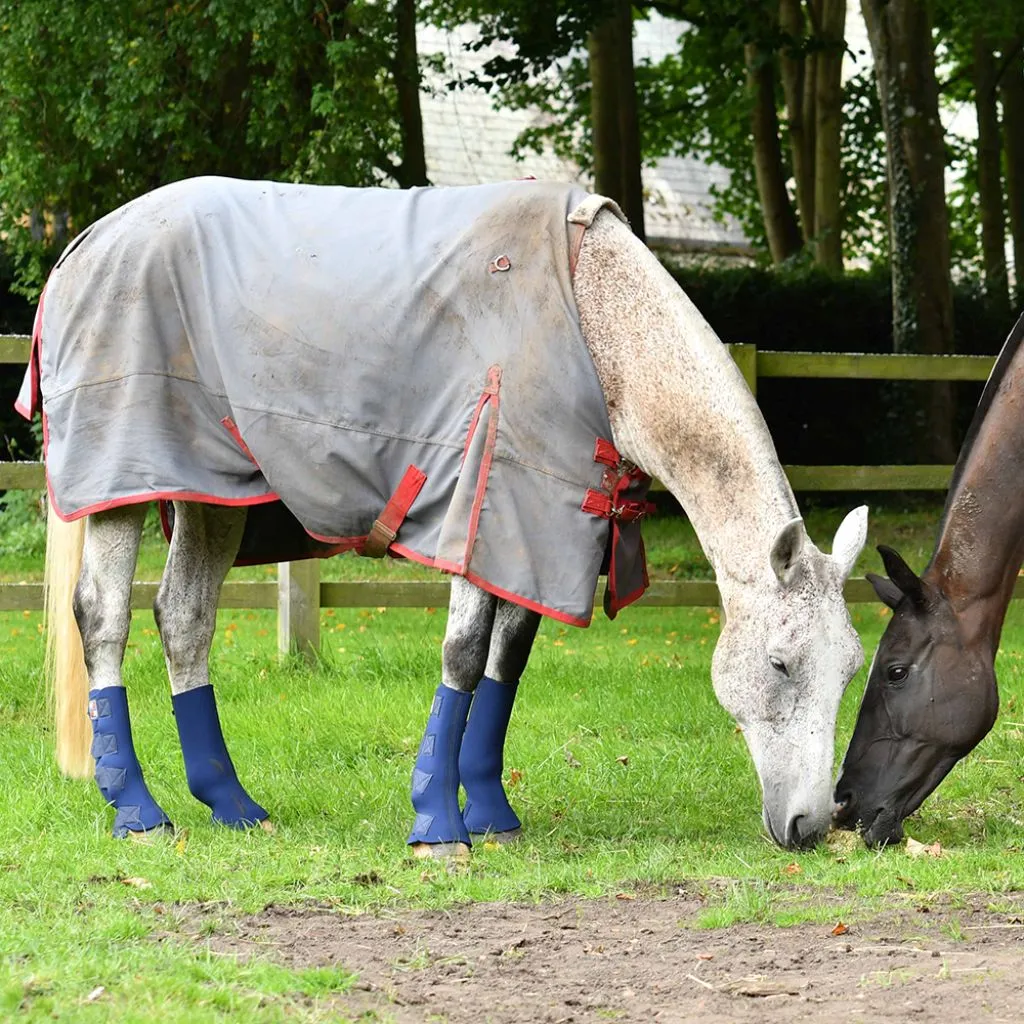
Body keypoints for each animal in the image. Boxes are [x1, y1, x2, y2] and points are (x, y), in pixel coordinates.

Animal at [25, 180, 864, 851]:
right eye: (781, 664)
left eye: (852, 669)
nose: (811, 826)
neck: (595, 319)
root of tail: (83, 245)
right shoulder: (483, 504)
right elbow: (462, 654)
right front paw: (437, 824)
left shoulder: (542, 529)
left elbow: (505, 662)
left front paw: (490, 814)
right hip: (124, 482)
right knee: (103, 619)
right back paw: (137, 811)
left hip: (211, 495)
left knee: (184, 620)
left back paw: (231, 804)